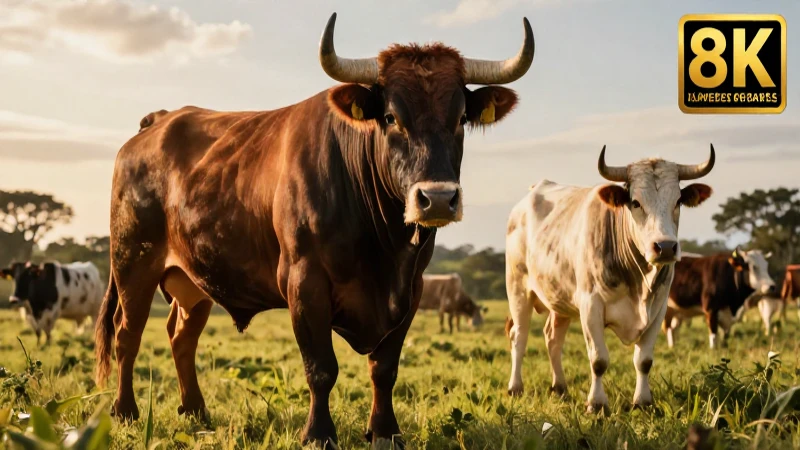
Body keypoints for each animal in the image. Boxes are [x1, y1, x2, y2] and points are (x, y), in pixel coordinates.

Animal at [93, 12, 534, 448]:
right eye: (391, 117)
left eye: (460, 119)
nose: (438, 199)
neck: (384, 244)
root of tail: (158, 122)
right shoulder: (305, 281)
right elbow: (321, 367)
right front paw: (319, 433)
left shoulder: (412, 287)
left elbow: (384, 368)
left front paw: (385, 430)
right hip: (133, 263)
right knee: (127, 334)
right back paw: (126, 411)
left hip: (194, 278)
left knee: (181, 336)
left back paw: (196, 411)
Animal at [504, 145, 714, 413]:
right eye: (635, 203)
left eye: (678, 201)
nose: (665, 247)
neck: (639, 282)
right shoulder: (590, 307)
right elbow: (599, 360)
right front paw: (596, 404)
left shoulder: (658, 309)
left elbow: (644, 360)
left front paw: (642, 402)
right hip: (518, 289)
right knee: (519, 336)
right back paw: (515, 387)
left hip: (559, 297)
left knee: (553, 338)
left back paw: (559, 387)